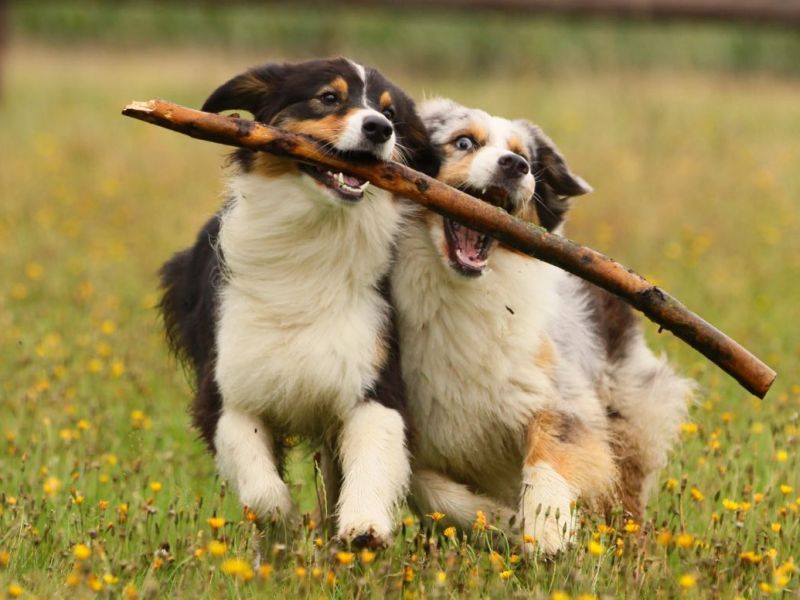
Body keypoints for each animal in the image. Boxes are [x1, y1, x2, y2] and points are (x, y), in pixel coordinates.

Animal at [160, 58, 440, 548]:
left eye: (392, 113)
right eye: (328, 97)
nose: (379, 128)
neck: (314, 237)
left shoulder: (374, 376)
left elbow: (373, 457)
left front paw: (364, 527)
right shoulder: (228, 390)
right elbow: (264, 489)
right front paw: (285, 527)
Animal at [390, 98, 692, 552]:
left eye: (528, 160)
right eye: (463, 142)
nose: (515, 166)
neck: (458, 292)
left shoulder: (560, 395)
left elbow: (550, 454)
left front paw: (548, 528)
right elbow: (428, 488)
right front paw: (502, 520)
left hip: (630, 411)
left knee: (626, 497)